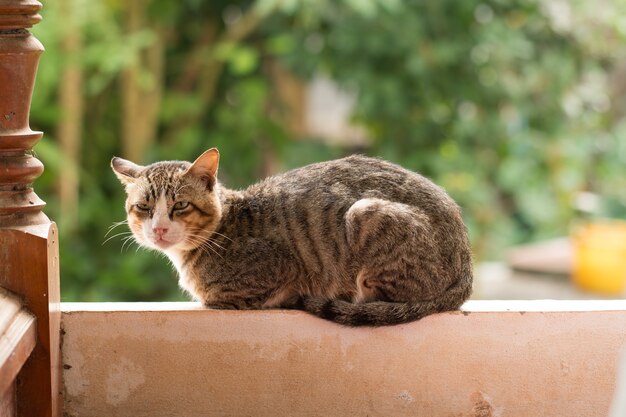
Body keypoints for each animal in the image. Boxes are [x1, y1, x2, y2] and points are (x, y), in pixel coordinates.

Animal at [113, 148, 472, 326]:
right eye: (143, 207)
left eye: (180, 205)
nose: (159, 228)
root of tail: (465, 269)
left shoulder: (278, 270)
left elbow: (223, 298)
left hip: (365, 212)